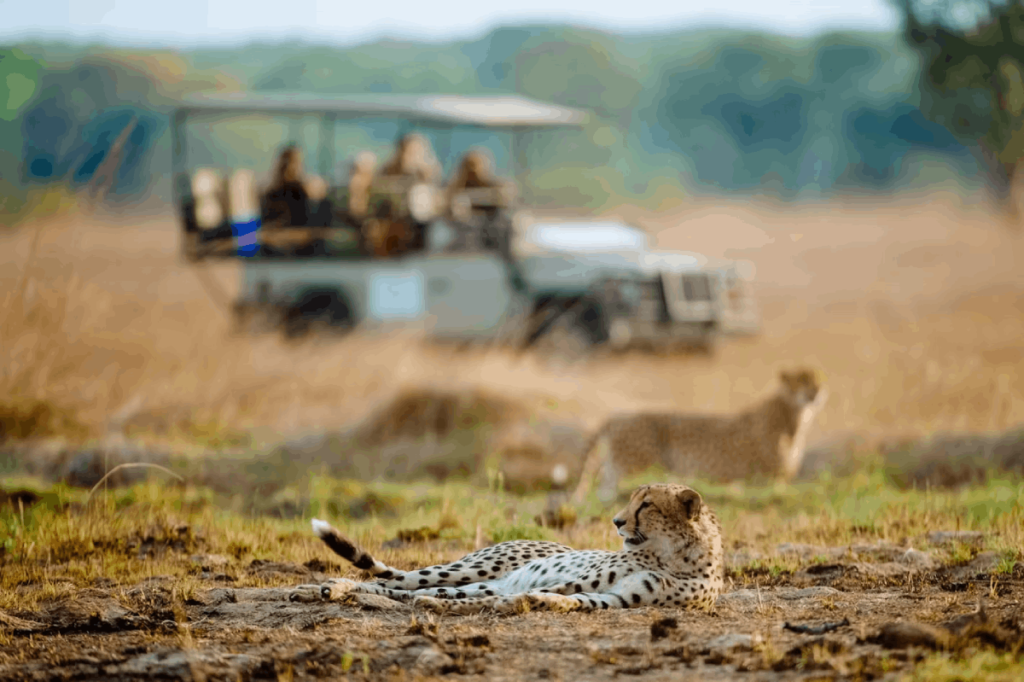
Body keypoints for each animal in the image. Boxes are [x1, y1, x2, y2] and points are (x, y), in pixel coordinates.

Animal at [288, 481, 724, 614]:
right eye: (634, 500)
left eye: (646, 505)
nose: (617, 522)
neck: (672, 555)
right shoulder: (583, 580)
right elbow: (558, 592)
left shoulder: (618, 598)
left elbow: (568, 601)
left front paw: (528, 603)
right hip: (471, 569)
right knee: (401, 581)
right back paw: (326, 588)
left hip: (480, 579)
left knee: (409, 590)